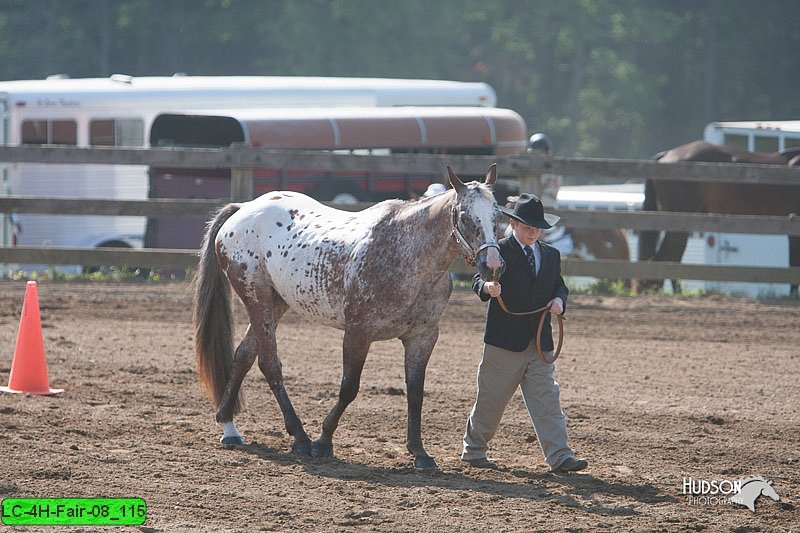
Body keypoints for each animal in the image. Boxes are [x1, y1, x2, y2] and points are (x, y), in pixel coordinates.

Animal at [193, 164, 504, 468]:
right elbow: (348, 389)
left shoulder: (422, 337)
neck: (406, 254)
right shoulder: (358, 334)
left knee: (244, 355)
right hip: (256, 299)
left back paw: (229, 427)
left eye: (498, 215)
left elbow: (416, 392)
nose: (492, 265)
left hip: (276, 302)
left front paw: (419, 452)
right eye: (465, 217)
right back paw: (301, 438)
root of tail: (243, 209)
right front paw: (323, 442)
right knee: (270, 365)